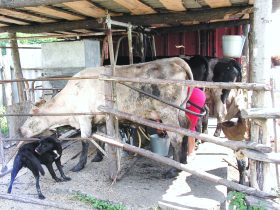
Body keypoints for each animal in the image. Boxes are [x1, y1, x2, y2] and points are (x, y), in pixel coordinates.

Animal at [20, 57, 194, 177]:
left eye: (31, 116)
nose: (20, 130)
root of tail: (175, 60)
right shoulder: (100, 118)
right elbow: (100, 137)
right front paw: (98, 157)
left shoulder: (84, 117)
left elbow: (85, 140)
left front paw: (79, 165)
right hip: (181, 109)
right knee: (186, 127)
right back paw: (183, 161)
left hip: (168, 112)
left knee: (176, 137)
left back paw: (173, 170)